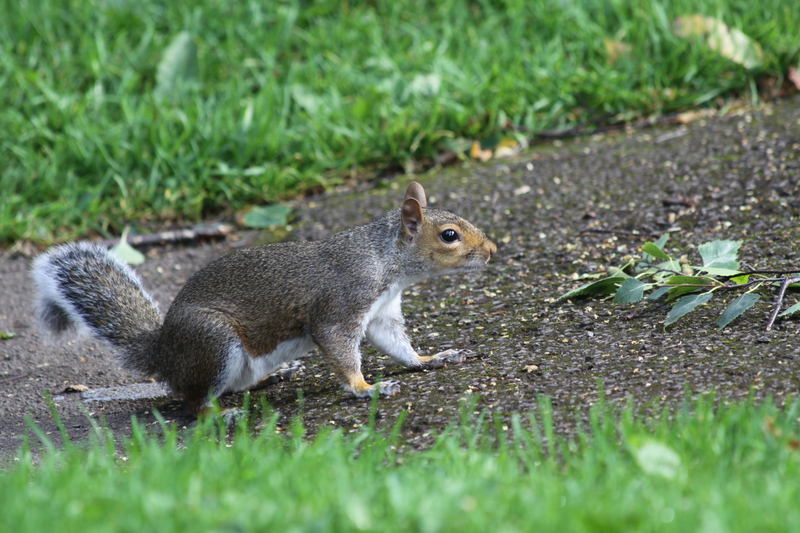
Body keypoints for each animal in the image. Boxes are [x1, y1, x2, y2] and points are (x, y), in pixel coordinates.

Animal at [32, 183, 494, 416]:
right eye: (449, 236)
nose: (491, 251)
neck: (385, 261)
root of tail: (163, 354)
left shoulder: (381, 314)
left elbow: (397, 345)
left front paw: (432, 359)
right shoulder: (341, 305)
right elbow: (341, 351)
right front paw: (366, 388)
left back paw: (276, 375)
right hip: (212, 341)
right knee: (193, 400)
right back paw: (220, 414)